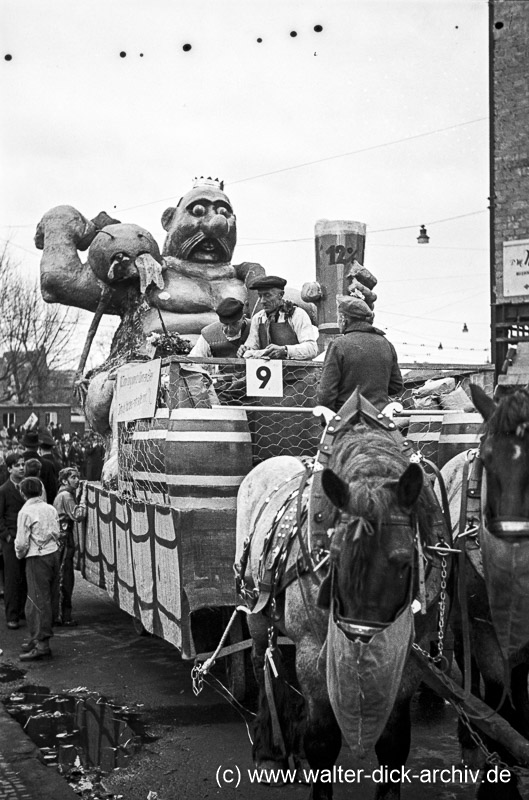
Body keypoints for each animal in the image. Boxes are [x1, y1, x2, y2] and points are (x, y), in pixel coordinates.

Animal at [235, 396, 446, 800]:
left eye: (403, 561)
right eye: (334, 555)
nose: (362, 638)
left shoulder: (410, 657)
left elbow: (394, 743)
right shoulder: (312, 650)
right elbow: (323, 740)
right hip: (255, 607)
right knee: (261, 660)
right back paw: (271, 749)